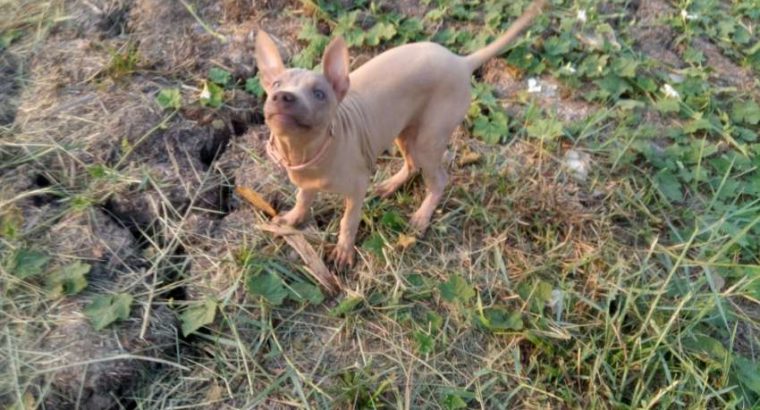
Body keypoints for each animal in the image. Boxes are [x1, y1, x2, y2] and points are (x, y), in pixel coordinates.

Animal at [255, 0, 548, 268]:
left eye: (319, 94)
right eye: (277, 85)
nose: (283, 97)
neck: (306, 152)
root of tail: (461, 61)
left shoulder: (357, 188)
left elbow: (348, 221)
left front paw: (343, 252)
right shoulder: (305, 181)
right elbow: (303, 199)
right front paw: (292, 219)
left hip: (429, 138)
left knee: (438, 179)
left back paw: (422, 216)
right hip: (405, 129)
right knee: (411, 163)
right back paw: (389, 185)